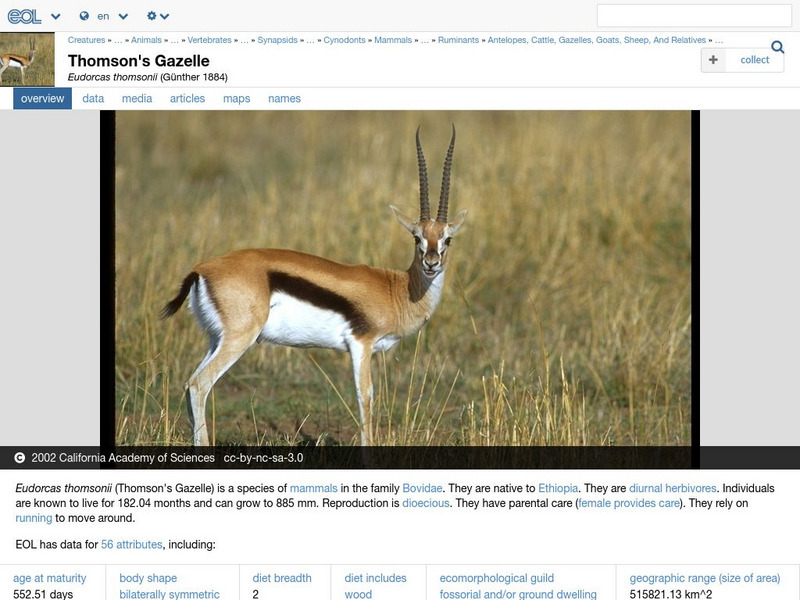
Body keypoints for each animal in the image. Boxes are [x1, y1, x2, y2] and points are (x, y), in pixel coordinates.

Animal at [162, 126, 466, 446]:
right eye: (416, 237)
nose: (431, 263)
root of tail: (201, 269)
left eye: (447, 239)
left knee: (188, 385)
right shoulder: (362, 344)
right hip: (239, 338)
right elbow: (365, 397)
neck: (397, 289)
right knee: (199, 384)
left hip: (215, 339)